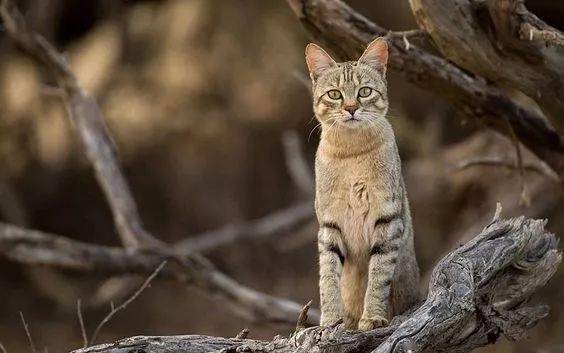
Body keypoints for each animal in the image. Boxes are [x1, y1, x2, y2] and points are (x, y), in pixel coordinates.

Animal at [306, 38, 420, 330]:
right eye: (335, 94)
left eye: (364, 92)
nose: (350, 108)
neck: (352, 151)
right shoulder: (330, 223)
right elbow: (328, 277)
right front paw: (332, 320)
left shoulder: (387, 219)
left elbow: (378, 275)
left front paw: (372, 317)